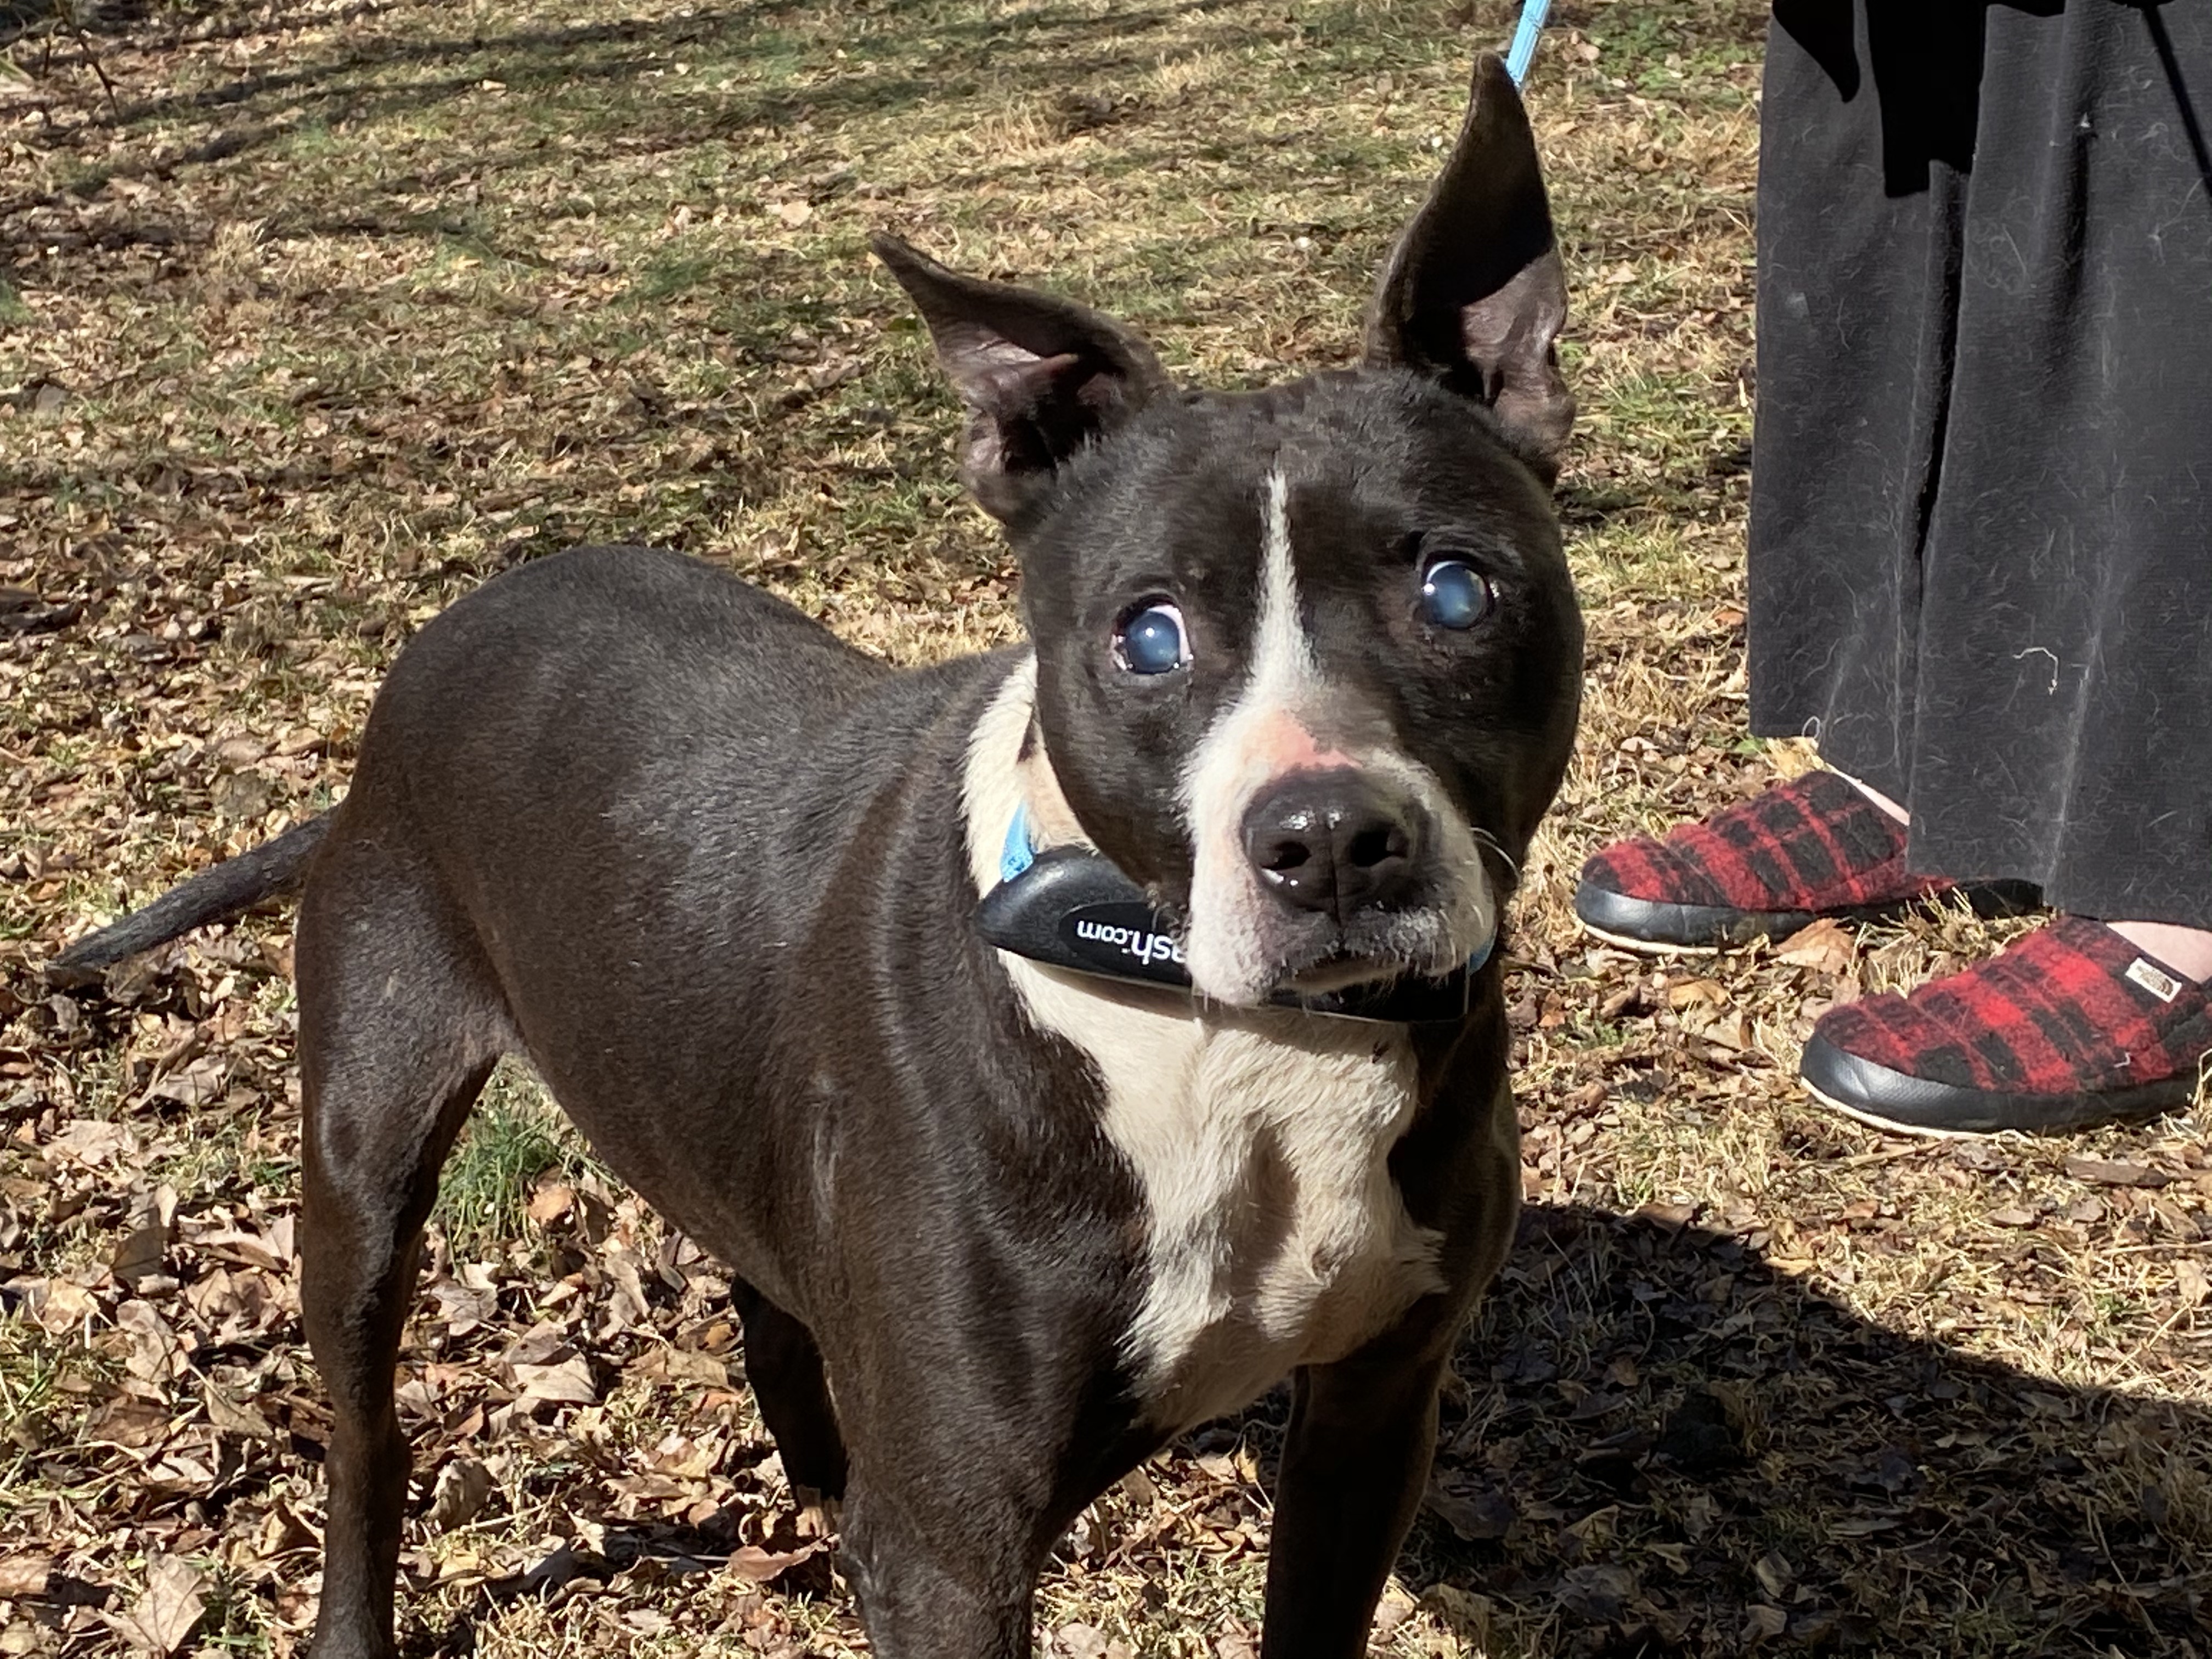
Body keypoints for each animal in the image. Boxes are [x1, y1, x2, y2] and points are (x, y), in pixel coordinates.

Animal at [47, 52, 1575, 1659]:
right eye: (1148, 633)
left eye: (1457, 592)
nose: (1331, 839)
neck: (1230, 1038)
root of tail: (441, 639)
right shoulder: (958, 1546)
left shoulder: (1375, 1420)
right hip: (365, 1141)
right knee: (366, 1420)